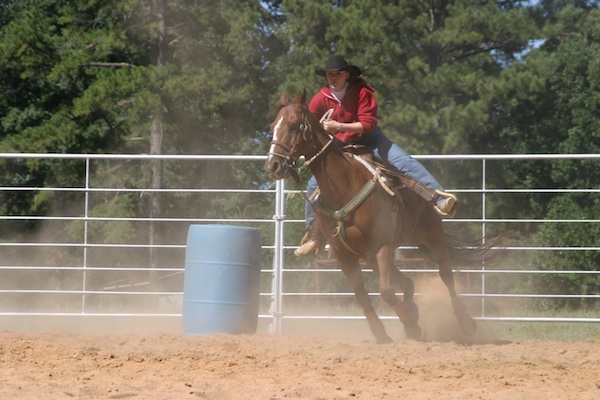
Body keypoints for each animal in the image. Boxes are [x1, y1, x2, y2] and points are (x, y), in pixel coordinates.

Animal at [264, 89, 494, 342]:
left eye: (294, 125)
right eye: (273, 125)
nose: (273, 165)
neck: (345, 187)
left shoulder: (383, 245)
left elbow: (385, 292)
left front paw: (409, 319)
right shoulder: (344, 255)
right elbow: (363, 296)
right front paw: (384, 332)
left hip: (431, 235)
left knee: (445, 274)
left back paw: (465, 322)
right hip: (370, 256)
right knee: (407, 281)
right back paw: (412, 322)